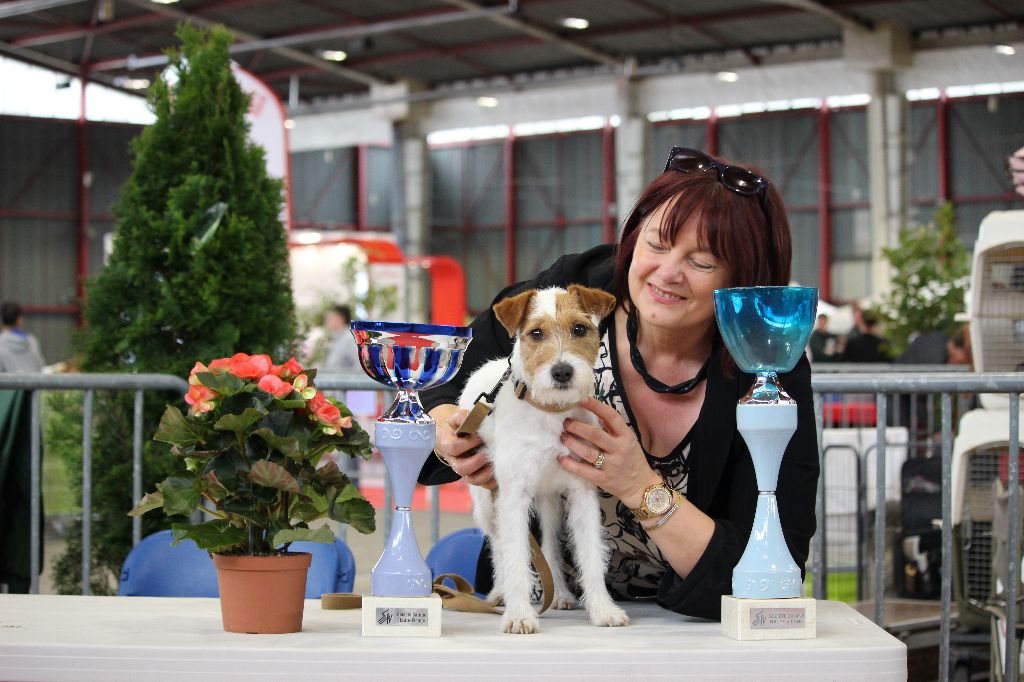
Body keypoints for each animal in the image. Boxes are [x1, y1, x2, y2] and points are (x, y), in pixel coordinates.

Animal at [460, 282, 626, 630]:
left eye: (580, 329)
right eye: (536, 333)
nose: (562, 372)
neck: (550, 411)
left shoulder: (582, 494)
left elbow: (591, 556)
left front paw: (603, 609)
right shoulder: (513, 497)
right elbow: (515, 557)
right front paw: (520, 615)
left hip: (551, 502)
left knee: (550, 545)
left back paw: (560, 593)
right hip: (487, 501)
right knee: (498, 546)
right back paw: (500, 593)